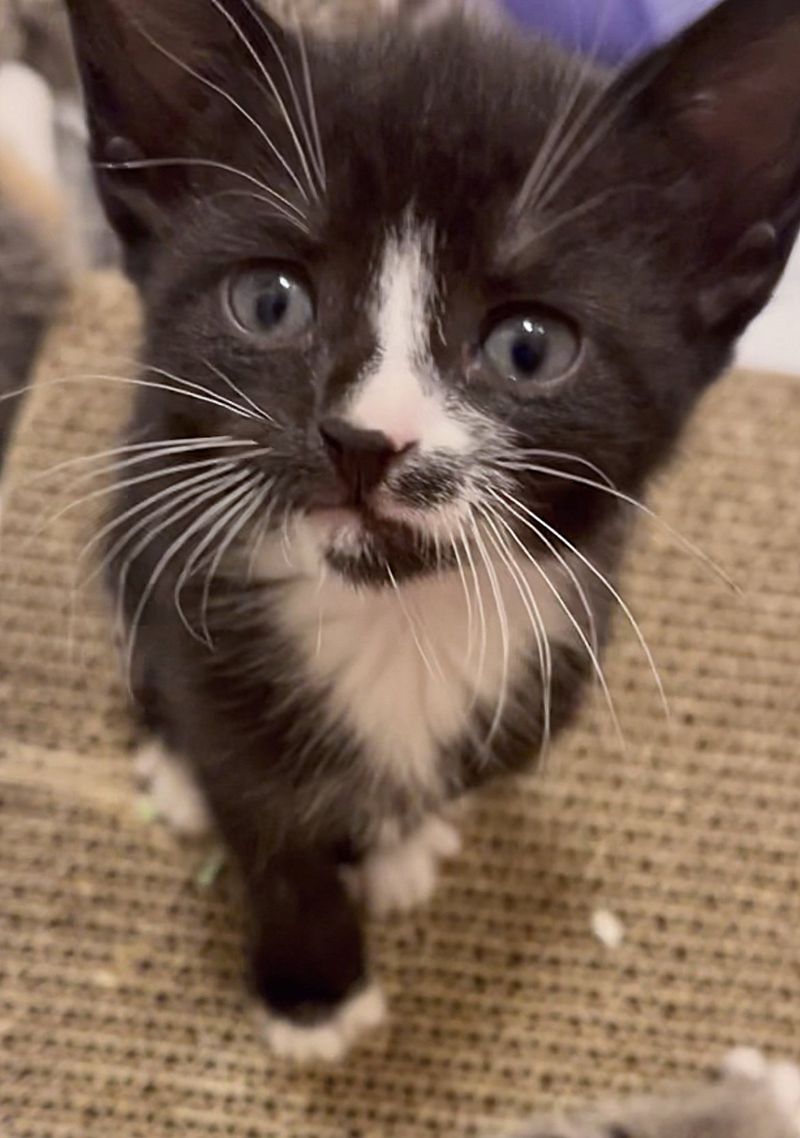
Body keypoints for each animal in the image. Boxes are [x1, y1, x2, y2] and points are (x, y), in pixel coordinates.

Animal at [65, 0, 800, 1056]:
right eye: (269, 301)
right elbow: (268, 827)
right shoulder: (204, 634)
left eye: (530, 348)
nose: (363, 440)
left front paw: (402, 846)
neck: (396, 621)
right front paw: (314, 994)